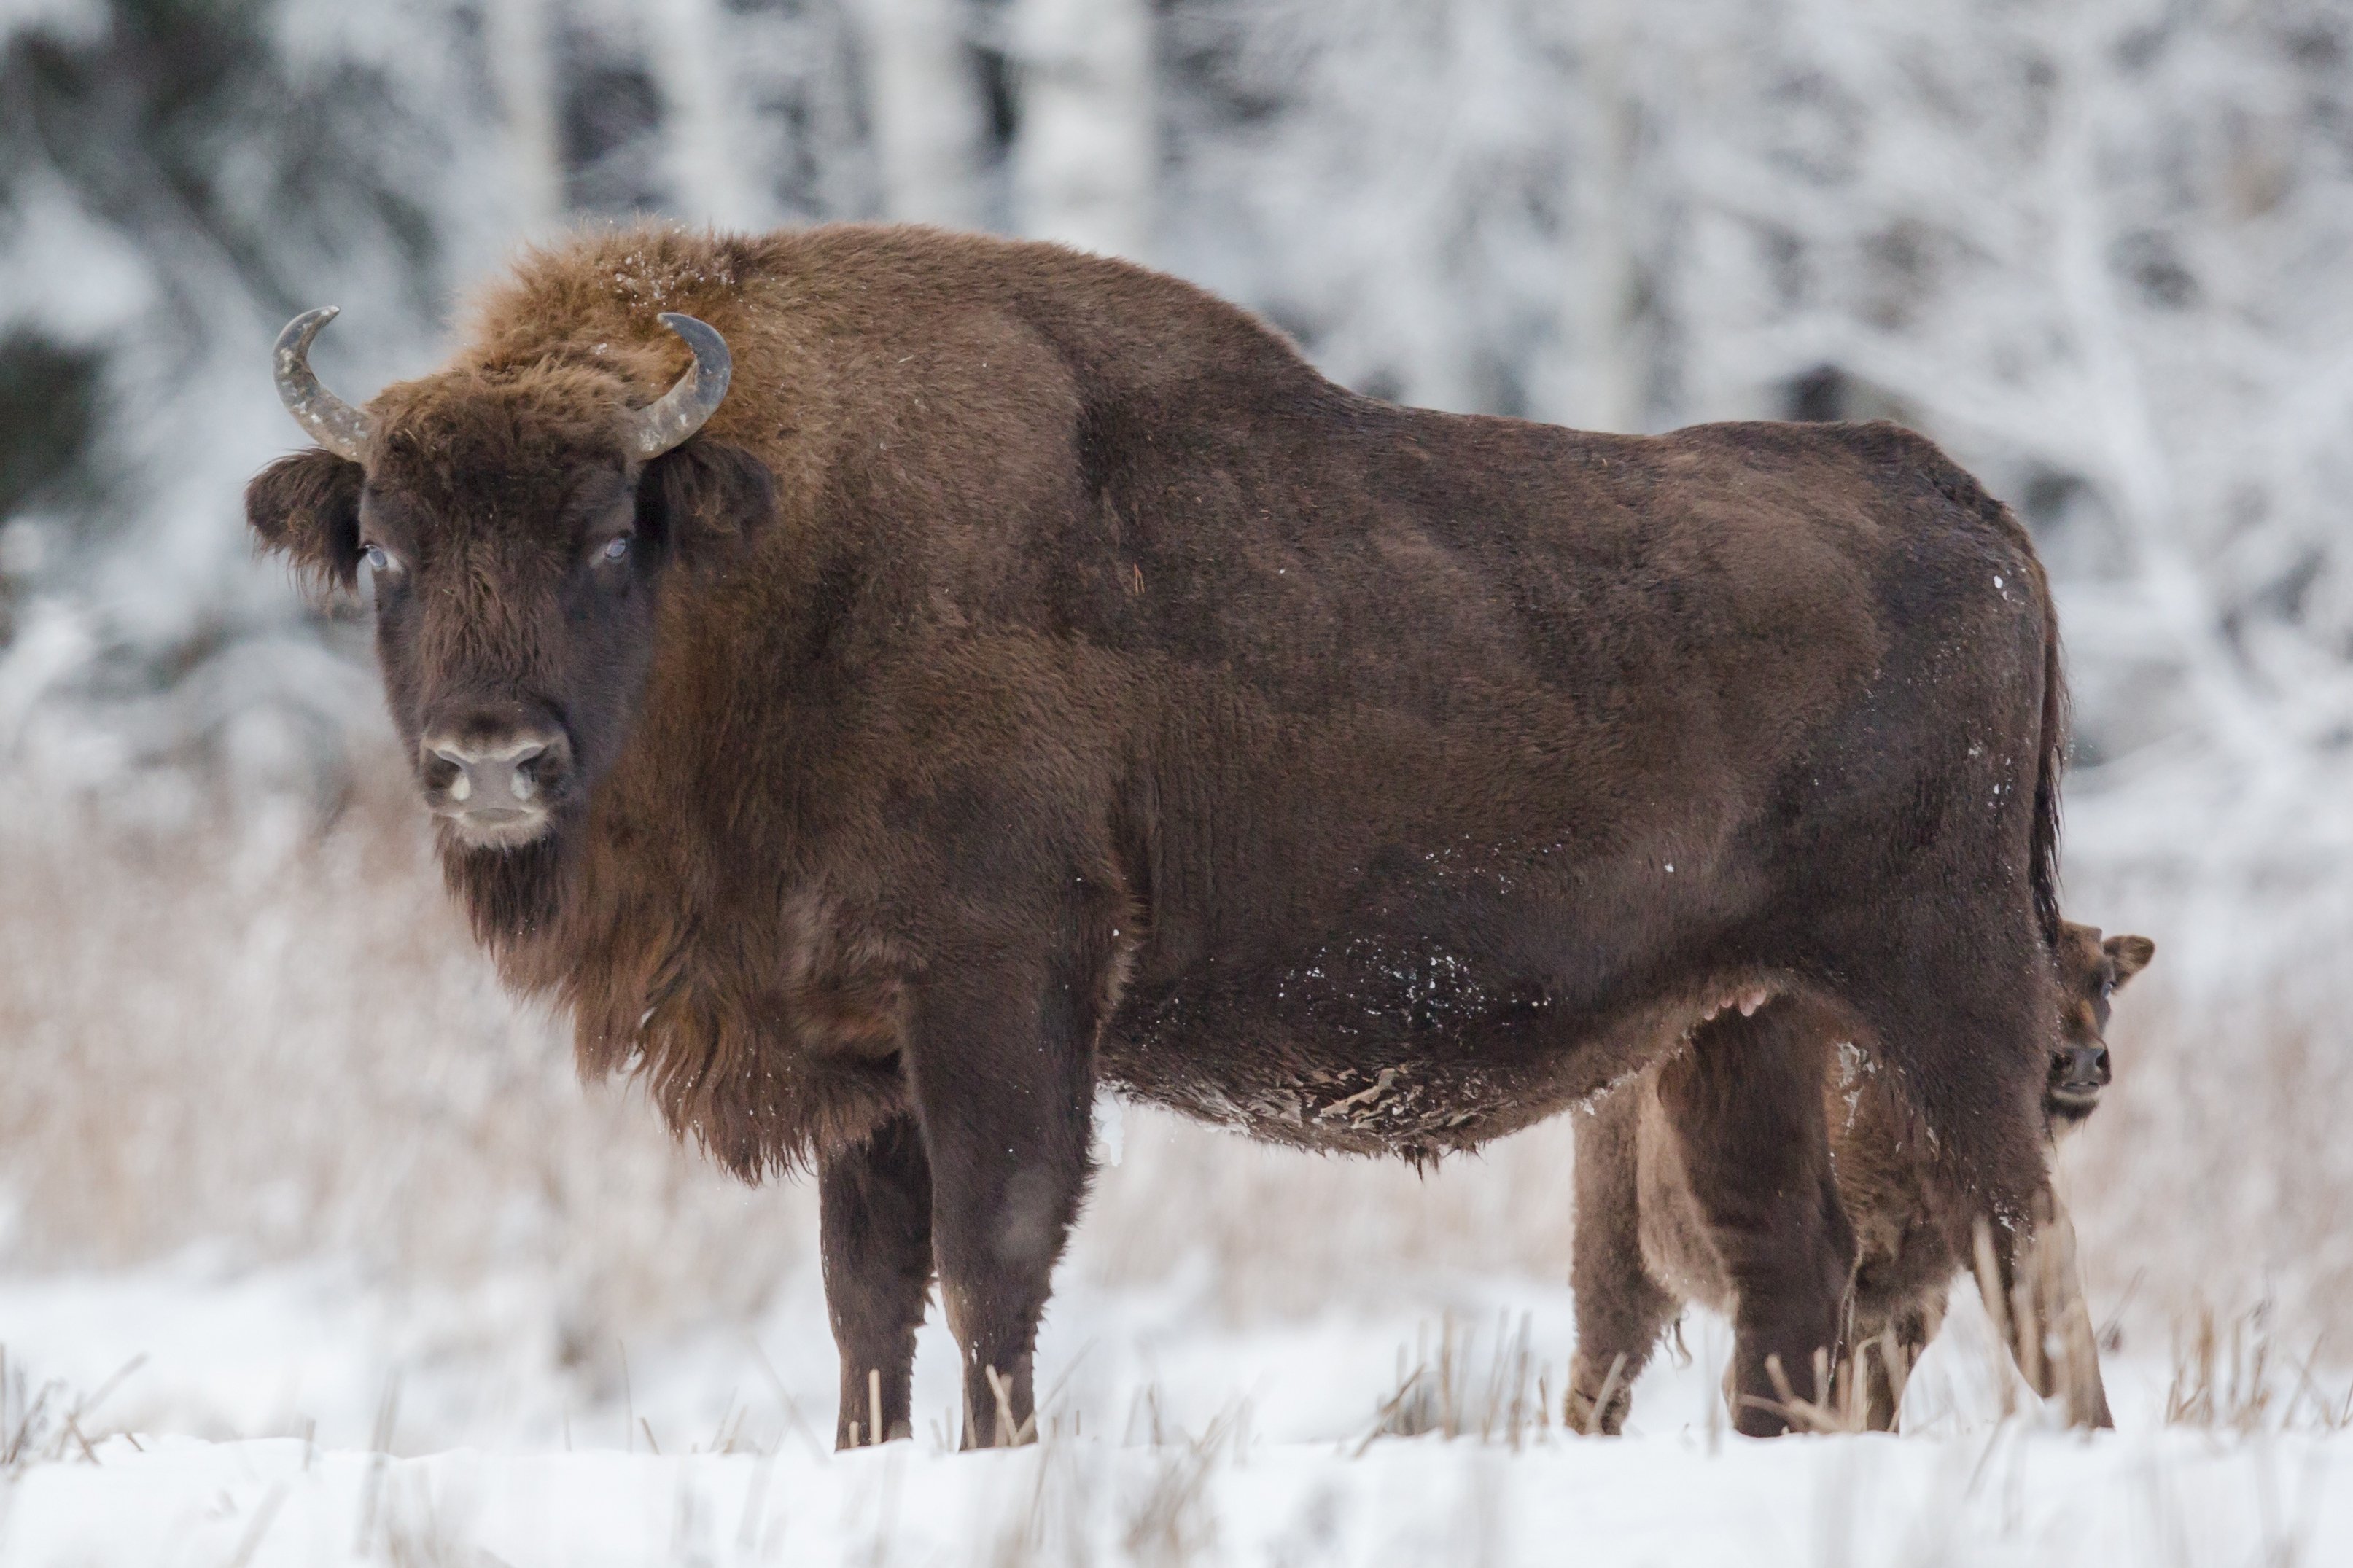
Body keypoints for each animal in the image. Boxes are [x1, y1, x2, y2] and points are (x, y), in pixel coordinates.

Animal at [248, 221, 2070, 1448]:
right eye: (387, 548)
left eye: (608, 536)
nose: (490, 756)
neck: (776, 551)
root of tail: (1948, 499)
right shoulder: (864, 1051)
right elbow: (863, 1297)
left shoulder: (999, 994)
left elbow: (988, 1261)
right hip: (1740, 1019)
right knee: (1789, 1274)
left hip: (1950, 987)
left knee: (2014, 1234)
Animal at [1562, 921, 2155, 1438]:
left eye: (2104, 982)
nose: (2081, 1059)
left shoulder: (1912, 1305)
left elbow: (1879, 1407)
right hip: (1619, 1267)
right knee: (1599, 1382)